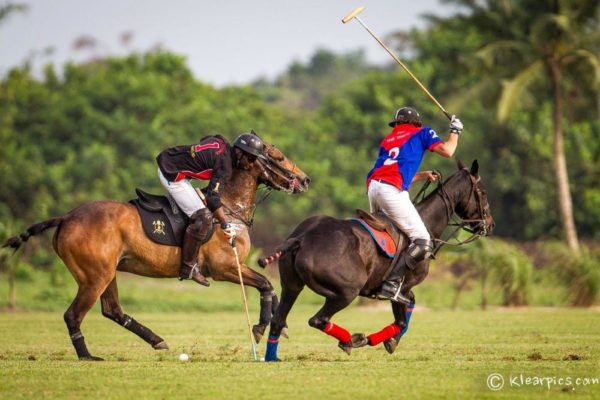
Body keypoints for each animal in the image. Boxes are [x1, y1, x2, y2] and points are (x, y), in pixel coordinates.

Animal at [4, 140, 312, 360]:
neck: (230, 209)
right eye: (278, 156)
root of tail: (66, 218)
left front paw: (280, 325)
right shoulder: (224, 268)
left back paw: (156, 340)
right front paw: (260, 328)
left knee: (112, 310)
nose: (305, 180)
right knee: (73, 315)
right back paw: (88, 356)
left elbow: (268, 286)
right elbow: (265, 284)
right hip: (94, 276)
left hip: (106, 273)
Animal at [262, 160, 492, 362]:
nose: (489, 225)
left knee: (278, 320)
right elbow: (401, 321)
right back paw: (353, 340)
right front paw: (383, 340)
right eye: (482, 192)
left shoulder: (403, 290)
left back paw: (272, 358)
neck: (425, 224)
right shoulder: (402, 287)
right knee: (317, 319)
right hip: (347, 290)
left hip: (292, 285)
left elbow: (408, 310)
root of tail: (302, 238)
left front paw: (392, 340)